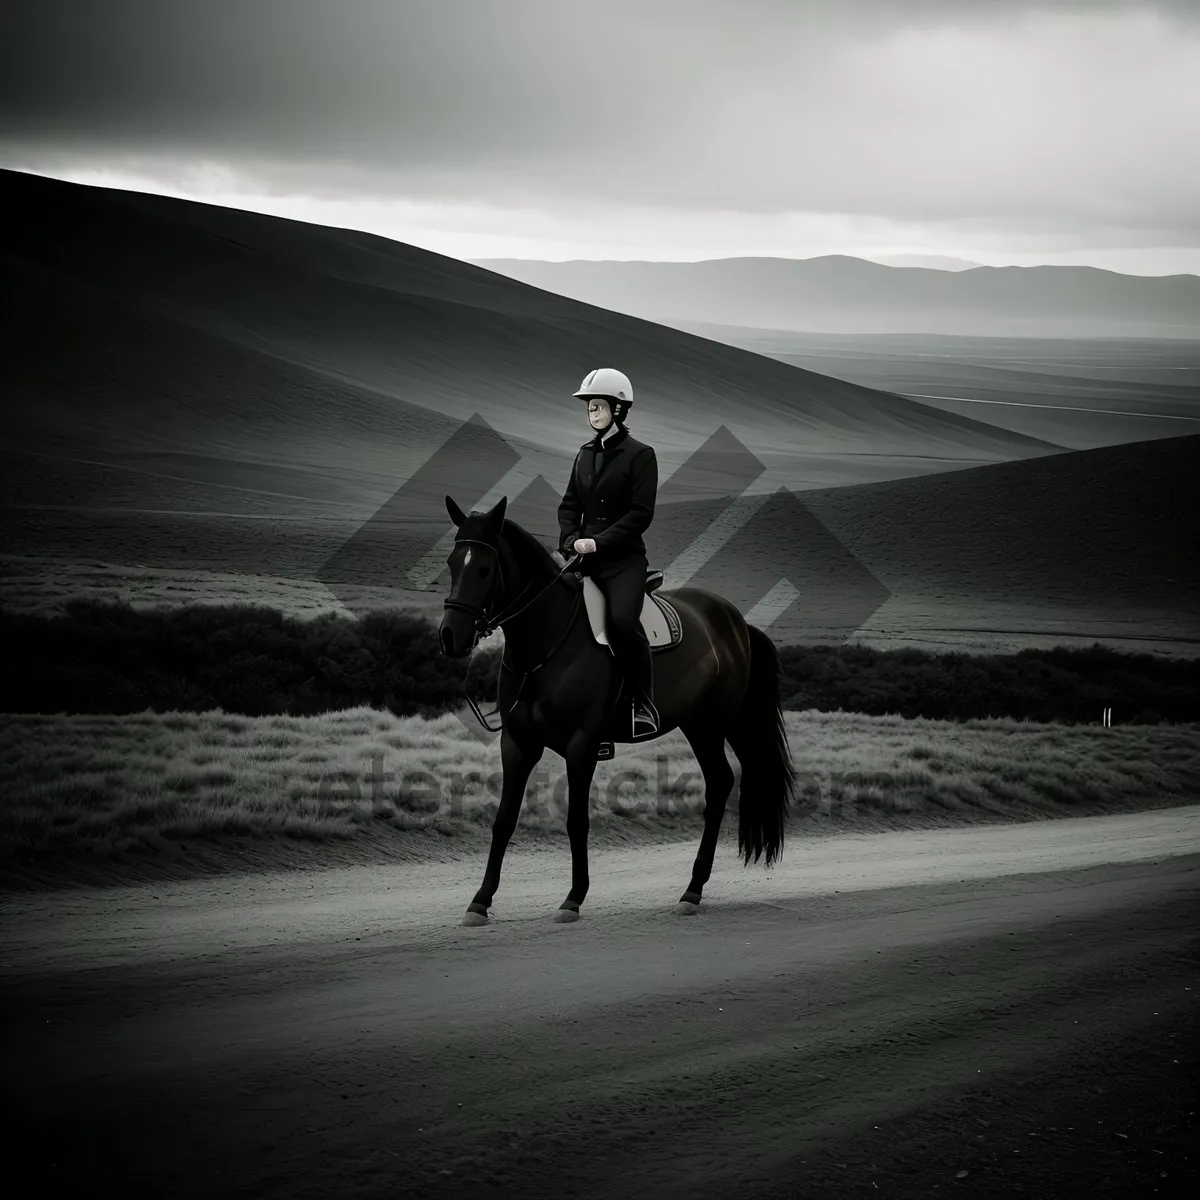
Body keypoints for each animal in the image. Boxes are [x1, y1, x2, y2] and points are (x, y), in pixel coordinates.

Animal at [436, 492, 792, 921]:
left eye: (485, 569)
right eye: (452, 563)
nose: (451, 636)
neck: (547, 641)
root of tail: (735, 620)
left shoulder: (582, 745)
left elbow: (577, 820)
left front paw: (573, 898)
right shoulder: (518, 743)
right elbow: (503, 820)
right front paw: (480, 900)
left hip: (719, 723)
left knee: (722, 783)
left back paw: (692, 890)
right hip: (697, 724)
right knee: (720, 781)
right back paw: (693, 889)